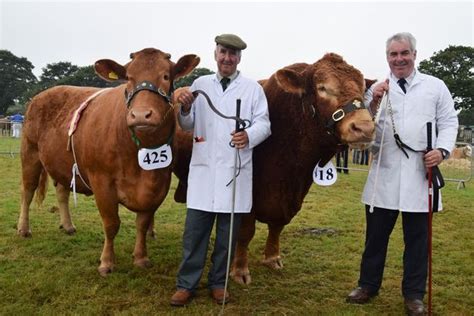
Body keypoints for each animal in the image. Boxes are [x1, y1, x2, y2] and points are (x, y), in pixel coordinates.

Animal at [17, 48, 199, 276]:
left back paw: (68, 226)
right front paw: (106, 262)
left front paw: (141, 258)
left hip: (63, 163)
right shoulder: (101, 182)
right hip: (30, 154)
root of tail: (41, 95)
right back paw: (24, 228)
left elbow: (142, 222)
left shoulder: (159, 183)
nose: (141, 115)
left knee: (62, 192)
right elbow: (111, 224)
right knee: (27, 192)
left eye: (166, 76)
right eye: (128, 78)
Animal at [172, 53, 376, 286]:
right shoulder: (248, 198)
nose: (364, 127)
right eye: (323, 87)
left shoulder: (292, 197)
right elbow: (245, 232)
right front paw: (239, 270)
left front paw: (272, 258)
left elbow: (277, 226)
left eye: (362, 89)